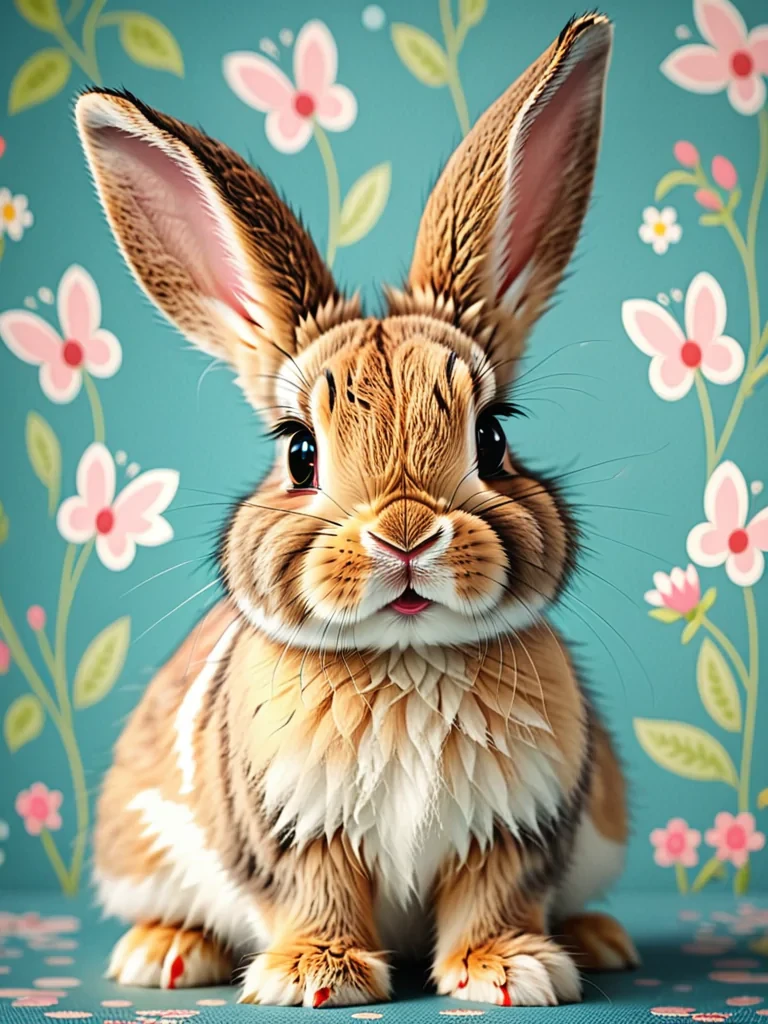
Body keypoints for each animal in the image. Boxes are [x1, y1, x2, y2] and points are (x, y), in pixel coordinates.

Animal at [75, 10, 638, 1008]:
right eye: (299, 451)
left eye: (493, 436)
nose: (405, 536)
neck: (405, 658)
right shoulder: (294, 832)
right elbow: (319, 894)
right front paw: (315, 977)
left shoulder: (515, 829)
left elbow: (491, 897)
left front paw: (512, 972)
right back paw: (163, 953)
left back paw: (597, 939)